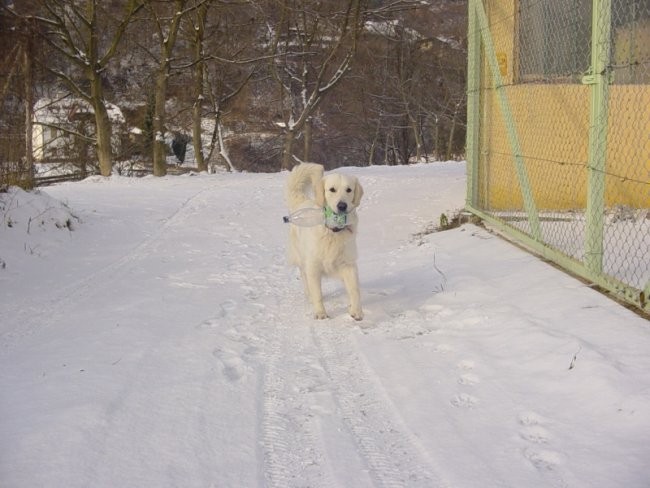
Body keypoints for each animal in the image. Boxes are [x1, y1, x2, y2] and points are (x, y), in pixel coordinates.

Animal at [284, 163, 362, 320]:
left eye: (349, 190)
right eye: (332, 189)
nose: (342, 205)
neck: (333, 231)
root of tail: (304, 201)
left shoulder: (348, 264)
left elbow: (354, 289)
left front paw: (356, 311)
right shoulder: (313, 266)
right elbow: (317, 293)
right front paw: (320, 313)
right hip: (301, 257)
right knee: (304, 277)